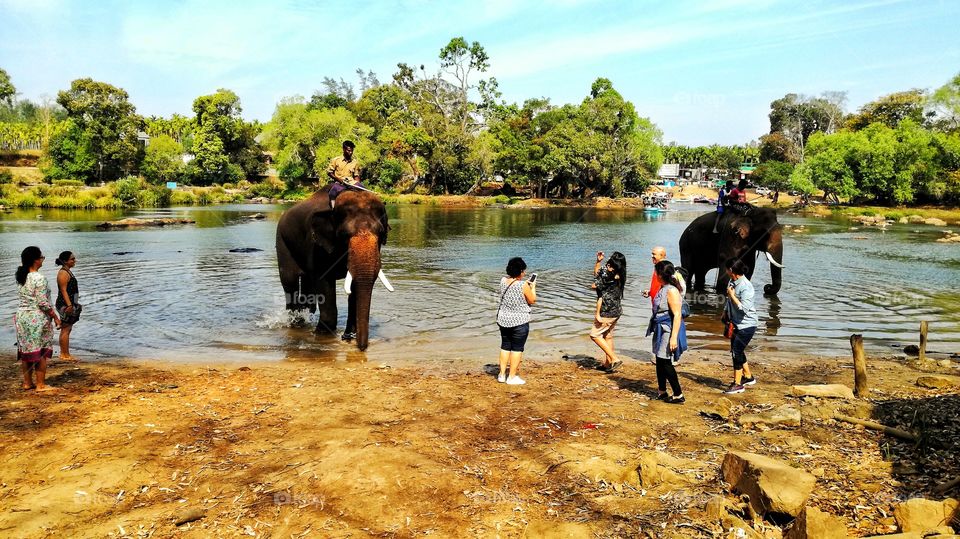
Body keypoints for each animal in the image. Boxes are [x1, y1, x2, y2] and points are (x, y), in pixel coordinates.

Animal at [276, 187, 393, 351]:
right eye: (344, 234)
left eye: (381, 233)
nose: (362, 347)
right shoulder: (317, 246)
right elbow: (323, 281)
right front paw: (322, 335)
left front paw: (349, 336)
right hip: (282, 241)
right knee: (289, 281)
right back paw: (296, 324)